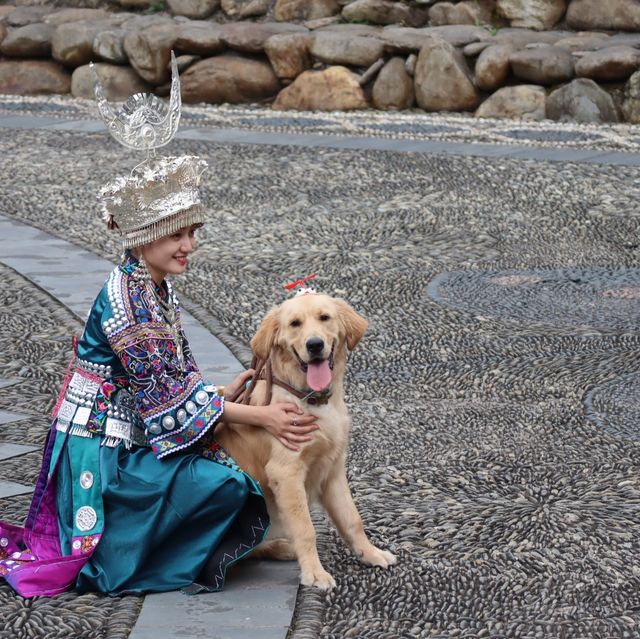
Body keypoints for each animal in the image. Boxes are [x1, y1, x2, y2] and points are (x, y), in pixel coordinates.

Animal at [215, 294, 396, 592]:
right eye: (295, 324)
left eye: (324, 317)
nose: (315, 345)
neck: (312, 399)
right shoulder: (286, 472)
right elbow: (305, 528)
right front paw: (314, 573)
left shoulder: (333, 468)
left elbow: (352, 519)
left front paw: (371, 554)